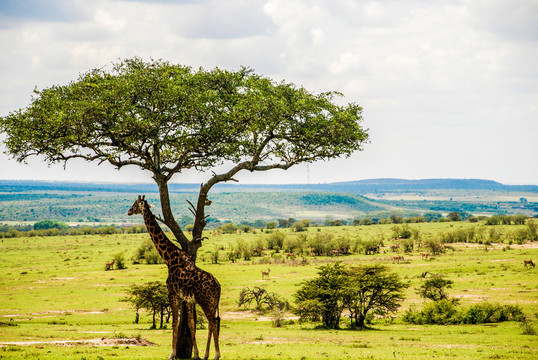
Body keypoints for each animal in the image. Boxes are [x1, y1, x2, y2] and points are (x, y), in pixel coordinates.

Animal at [127, 197, 220, 360]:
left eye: (135, 205)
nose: (129, 211)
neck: (169, 259)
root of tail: (219, 287)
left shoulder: (172, 293)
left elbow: (175, 323)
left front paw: (172, 354)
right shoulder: (188, 299)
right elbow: (191, 324)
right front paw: (196, 354)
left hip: (205, 301)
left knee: (213, 322)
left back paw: (215, 355)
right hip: (212, 302)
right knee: (212, 322)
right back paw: (207, 354)